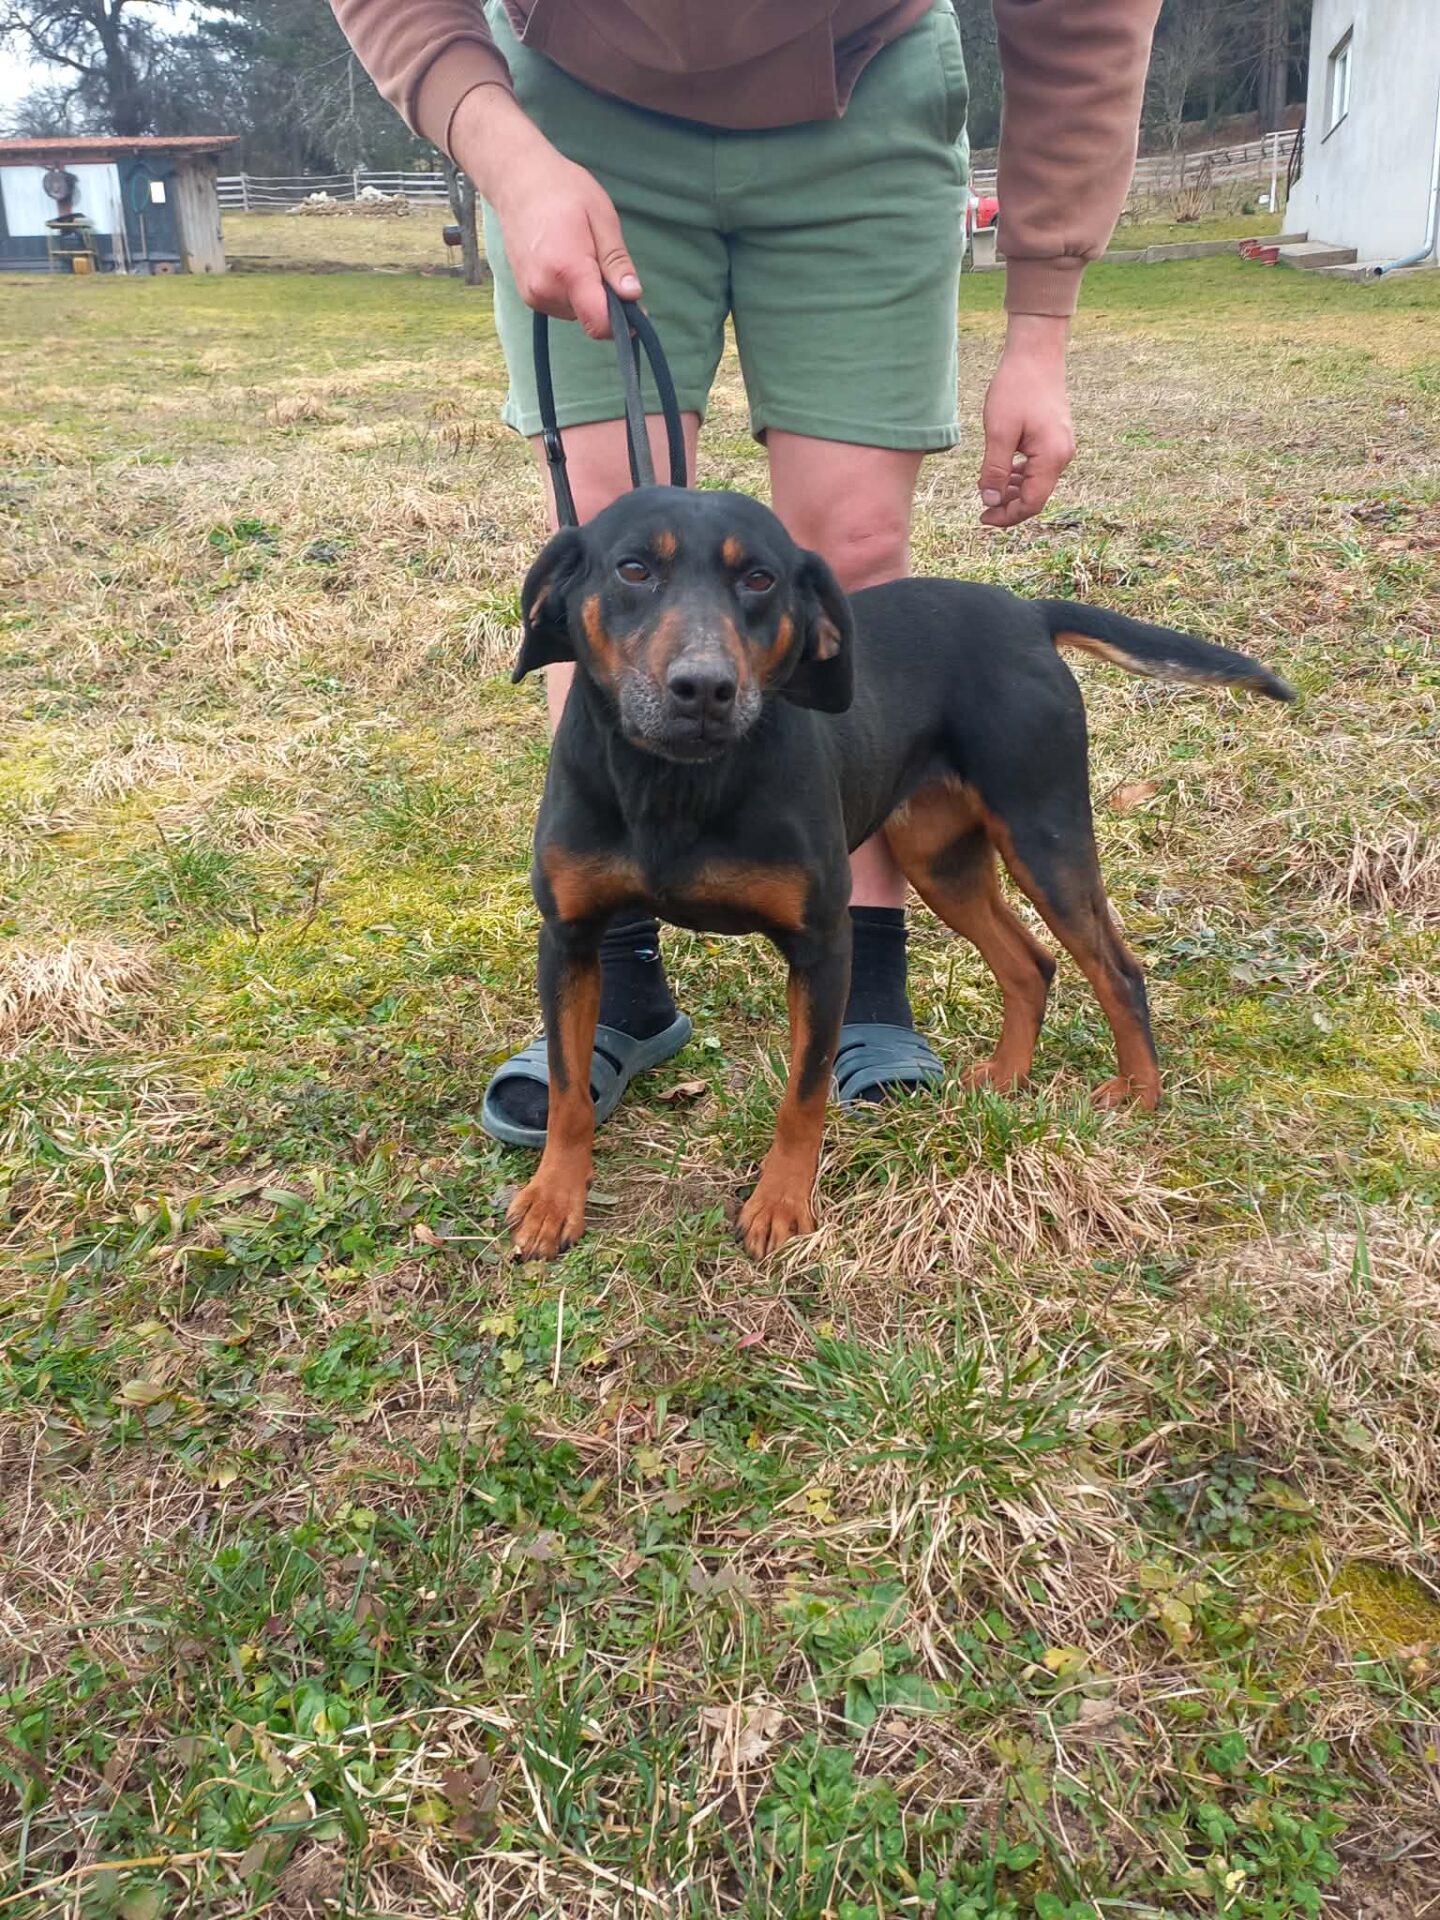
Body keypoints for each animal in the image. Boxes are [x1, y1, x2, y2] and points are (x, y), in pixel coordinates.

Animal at [503, 487, 1292, 1259]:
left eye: (759, 578)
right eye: (634, 569)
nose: (703, 688)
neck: (674, 783)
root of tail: (1027, 614)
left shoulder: (823, 944)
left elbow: (805, 1092)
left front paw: (781, 1204)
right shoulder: (568, 938)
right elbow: (569, 1090)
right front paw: (553, 1200)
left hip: (1045, 834)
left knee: (1116, 969)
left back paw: (1138, 1094)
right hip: (941, 861)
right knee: (1030, 964)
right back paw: (1006, 1080)